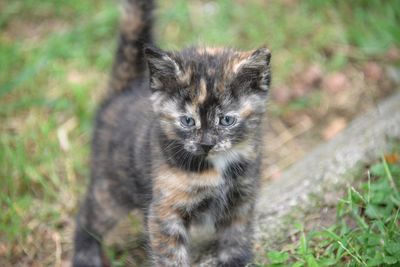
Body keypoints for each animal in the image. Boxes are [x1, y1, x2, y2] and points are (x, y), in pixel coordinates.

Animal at [72, 0, 272, 267]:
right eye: (187, 121)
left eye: (226, 120)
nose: (207, 144)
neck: (216, 165)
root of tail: (125, 92)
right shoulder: (165, 210)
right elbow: (170, 255)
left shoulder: (241, 196)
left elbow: (236, 234)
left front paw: (235, 260)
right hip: (112, 187)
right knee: (87, 217)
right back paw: (85, 255)